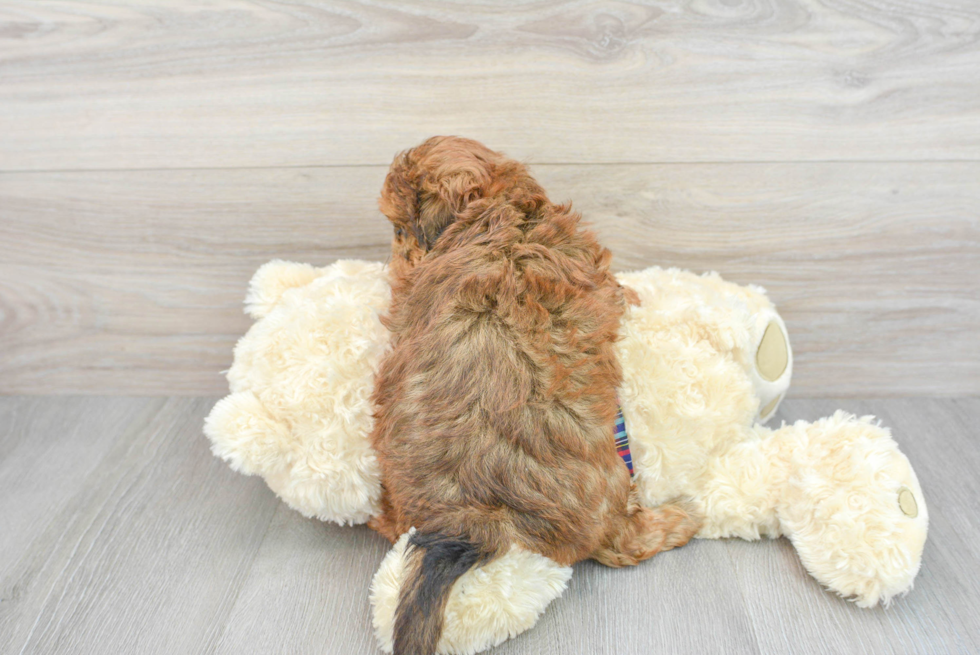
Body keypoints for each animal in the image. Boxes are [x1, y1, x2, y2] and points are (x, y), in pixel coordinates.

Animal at [368, 136, 696, 652]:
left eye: (401, 229)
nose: (395, 260)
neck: (499, 213)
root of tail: (469, 518)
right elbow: (619, 291)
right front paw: (638, 296)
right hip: (612, 489)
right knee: (627, 543)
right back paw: (684, 519)